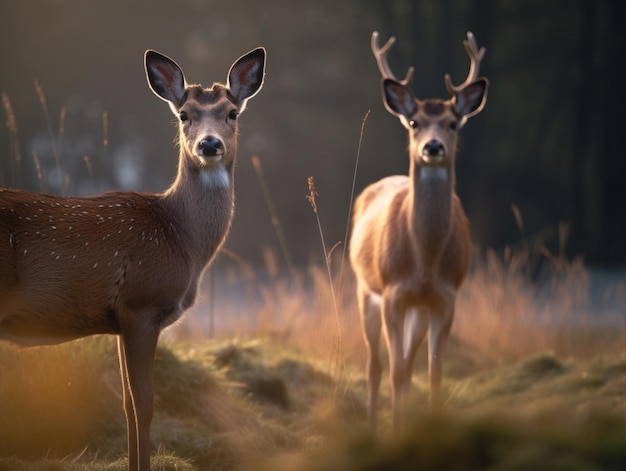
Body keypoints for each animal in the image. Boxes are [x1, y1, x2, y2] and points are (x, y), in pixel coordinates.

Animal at [0, 46, 266, 470]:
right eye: (184, 114)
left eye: (232, 113)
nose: (209, 145)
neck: (181, 238)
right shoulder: (141, 304)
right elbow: (144, 405)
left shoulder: (120, 320)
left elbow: (126, 404)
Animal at [346, 32, 488, 432]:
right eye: (414, 122)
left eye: (453, 123)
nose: (433, 146)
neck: (424, 259)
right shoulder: (392, 293)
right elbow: (394, 372)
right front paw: (394, 431)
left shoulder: (445, 298)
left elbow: (432, 372)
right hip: (365, 289)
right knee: (376, 366)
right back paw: (373, 426)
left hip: (418, 308)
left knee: (408, 366)